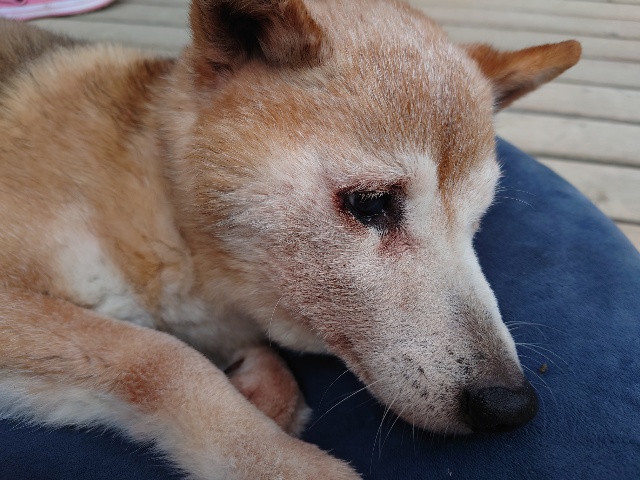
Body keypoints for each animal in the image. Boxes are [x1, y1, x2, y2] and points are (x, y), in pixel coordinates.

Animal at [0, 1, 580, 478]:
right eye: (370, 204)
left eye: (477, 220)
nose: (509, 404)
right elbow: (163, 358)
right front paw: (282, 461)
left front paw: (261, 385)